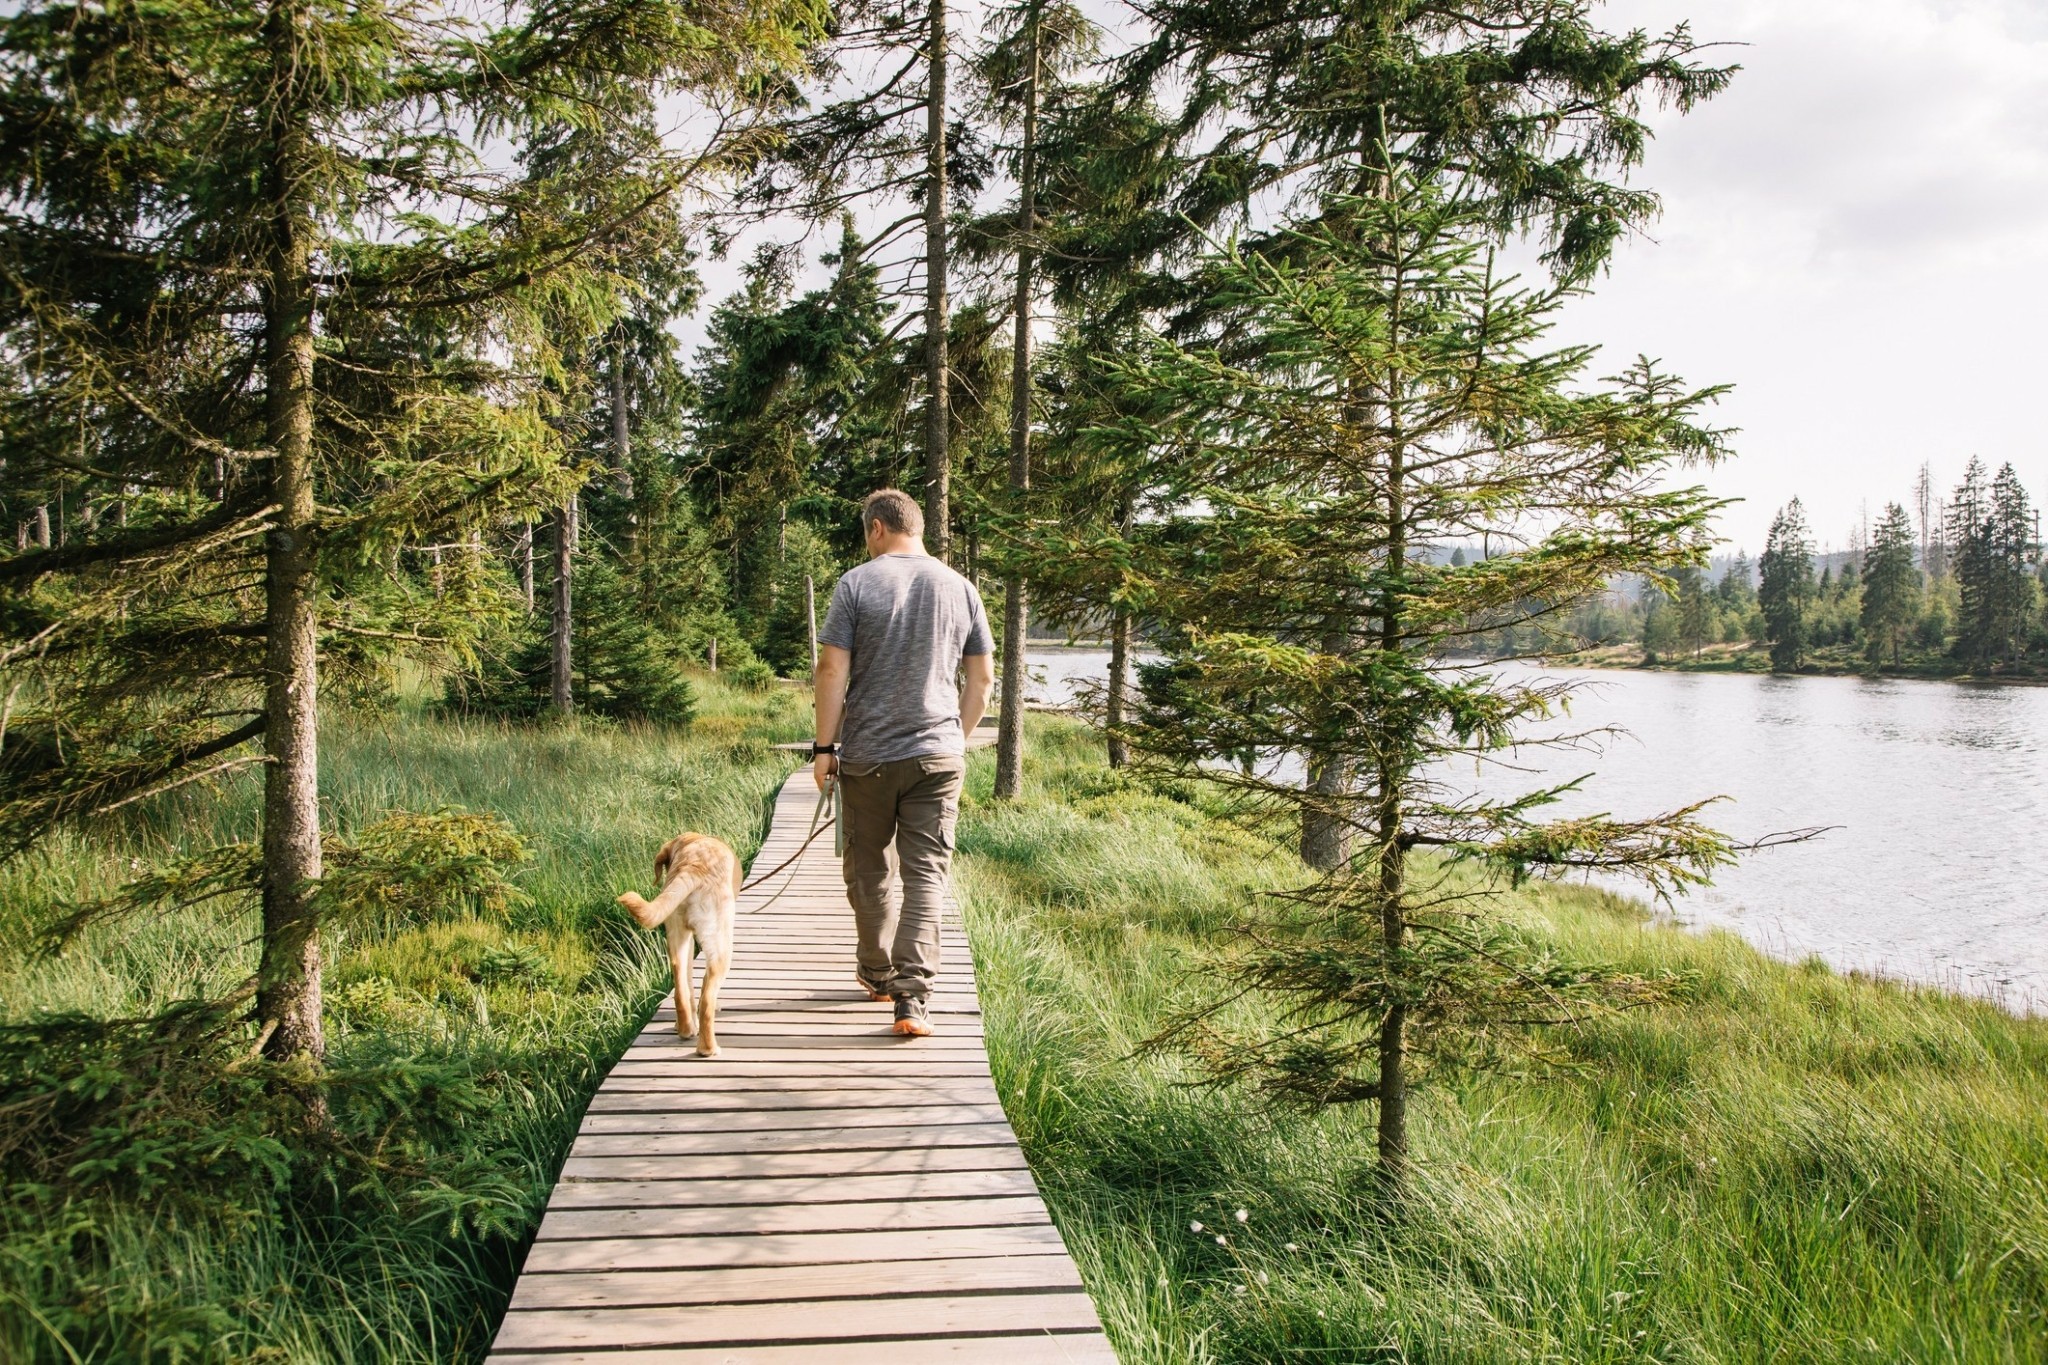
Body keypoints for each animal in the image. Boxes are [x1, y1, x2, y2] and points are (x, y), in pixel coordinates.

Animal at [618, 834, 741, 1055]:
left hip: (676, 935)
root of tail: (692, 867)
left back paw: (685, 1028)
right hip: (721, 947)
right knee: (707, 998)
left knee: (680, 987)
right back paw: (708, 1049)